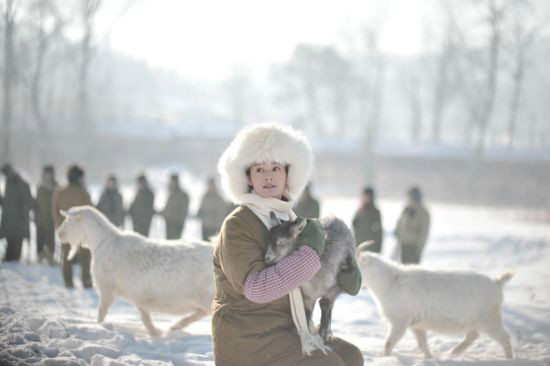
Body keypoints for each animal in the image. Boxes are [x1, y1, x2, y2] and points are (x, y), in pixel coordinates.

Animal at [56, 204, 216, 336]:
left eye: (68, 220)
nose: (59, 234)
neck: (102, 242)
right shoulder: (138, 295)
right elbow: (144, 315)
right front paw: (154, 332)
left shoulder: (107, 288)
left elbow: (102, 311)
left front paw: (98, 327)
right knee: (201, 312)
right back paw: (176, 326)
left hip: (205, 294)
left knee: (206, 311)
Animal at [358, 247, 516, 358]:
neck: (390, 281)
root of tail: (497, 282)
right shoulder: (416, 325)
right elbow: (422, 344)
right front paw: (429, 358)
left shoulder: (400, 322)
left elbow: (389, 344)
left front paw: (385, 358)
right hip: (475, 321)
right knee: (473, 336)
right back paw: (454, 352)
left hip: (489, 319)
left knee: (504, 338)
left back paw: (509, 359)